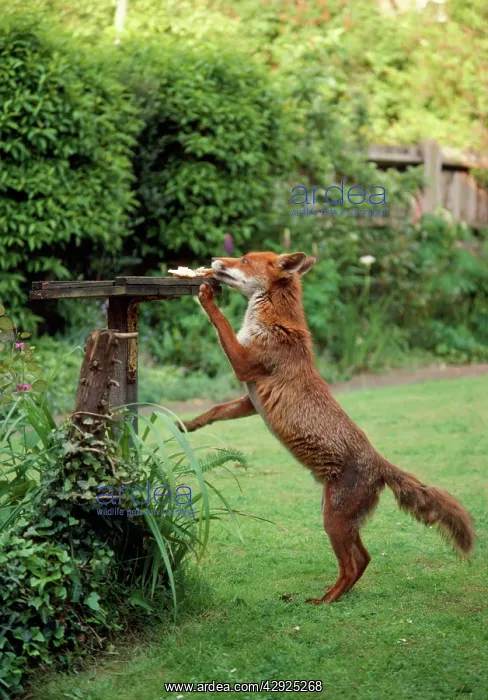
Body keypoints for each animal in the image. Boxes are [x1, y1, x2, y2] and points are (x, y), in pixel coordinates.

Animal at [182, 250, 475, 603]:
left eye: (244, 259)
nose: (214, 260)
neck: (273, 324)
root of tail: (381, 464)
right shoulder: (251, 400)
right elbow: (215, 411)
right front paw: (187, 425)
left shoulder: (245, 365)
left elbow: (221, 323)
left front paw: (207, 298)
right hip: (338, 518)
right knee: (364, 559)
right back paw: (335, 595)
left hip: (333, 520)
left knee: (352, 564)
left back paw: (324, 602)